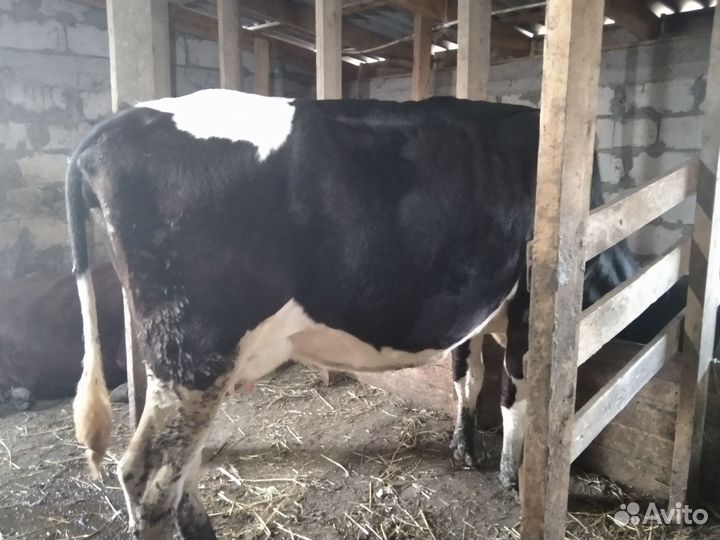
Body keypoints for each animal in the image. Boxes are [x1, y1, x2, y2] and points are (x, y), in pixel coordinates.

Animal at [65, 89, 639, 539]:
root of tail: (116, 124)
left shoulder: (472, 305)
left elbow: (467, 378)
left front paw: (463, 448)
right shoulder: (525, 303)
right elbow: (515, 395)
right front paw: (511, 476)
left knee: (179, 468)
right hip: (193, 351)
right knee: (149, 473)